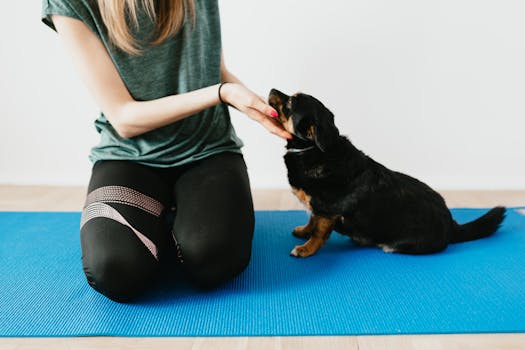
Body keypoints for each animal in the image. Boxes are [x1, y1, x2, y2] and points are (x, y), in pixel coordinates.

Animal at [268, 88, 506, 258]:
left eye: (290, 103)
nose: (271, 89)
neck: (313, 149)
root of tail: (451, 225)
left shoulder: (328, 212)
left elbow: (318, 232)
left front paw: (305, 248)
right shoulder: (317, 208)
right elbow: (311, 219)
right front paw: (303, 230)